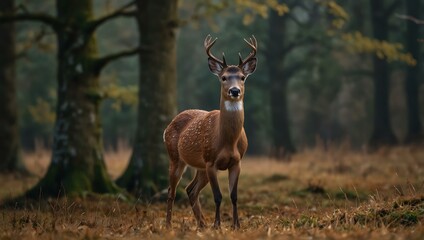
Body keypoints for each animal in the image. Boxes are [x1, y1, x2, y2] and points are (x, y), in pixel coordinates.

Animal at [164, 34, 258, 230]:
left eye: (242, 77)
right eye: (223, 77)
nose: (235, 91)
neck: (227, 141)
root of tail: (168, 126)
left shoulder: (237, 162)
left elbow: (234, 196)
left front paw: (236, 225)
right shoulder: (211, 162)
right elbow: (218, 196)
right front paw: (217, 225)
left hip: (199, 166)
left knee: (190, 189)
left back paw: (201, 224)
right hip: (176, 157)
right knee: (172, 190)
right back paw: (169, 225)